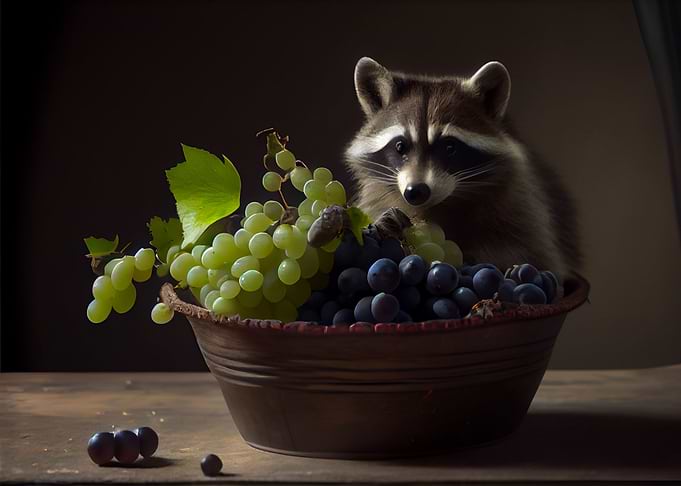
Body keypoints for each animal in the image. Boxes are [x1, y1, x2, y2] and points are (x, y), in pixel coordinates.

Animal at [344, 57, 582, 280]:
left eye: (450, 147)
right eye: (400, 146)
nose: (416, 191)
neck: (439, 206)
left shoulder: (522, 208)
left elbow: (535, 254)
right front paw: (382, 224)